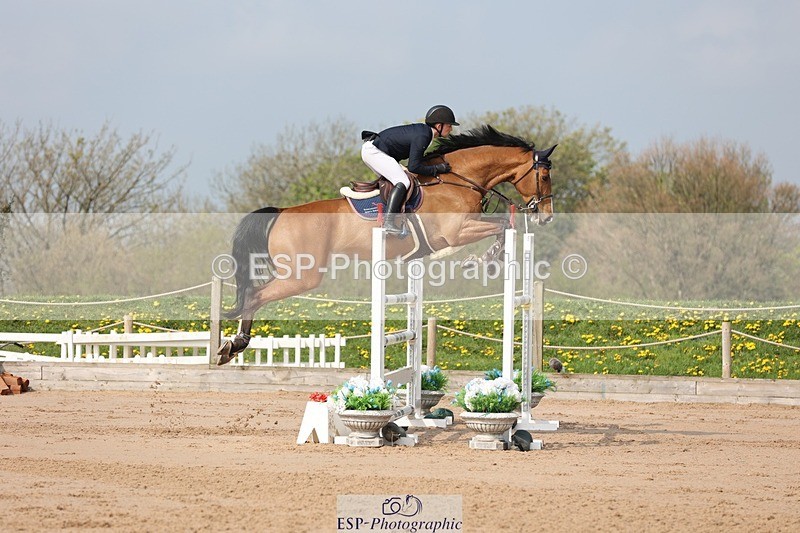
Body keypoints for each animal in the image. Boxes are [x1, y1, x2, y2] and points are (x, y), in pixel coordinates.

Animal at [217, 125, 556, 364]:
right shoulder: (458, 231)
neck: (460, 178)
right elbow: (500, 227)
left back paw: (232, 346)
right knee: (255, 294)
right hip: (303, 275)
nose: (547, 216)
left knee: (254, 293)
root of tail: (282, 212)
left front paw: (484, 261)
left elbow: (501, 226)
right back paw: (235, 344)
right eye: (544, 176)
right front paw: (481, 261)